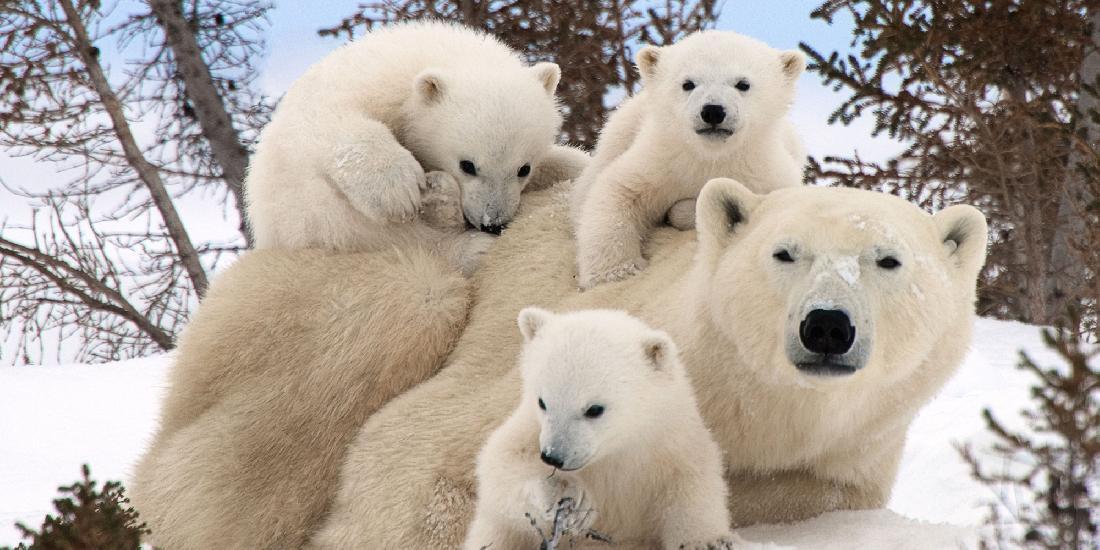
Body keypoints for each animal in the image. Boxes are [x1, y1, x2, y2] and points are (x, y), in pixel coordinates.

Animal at [308, 179, 990, 545]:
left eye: (888, 260)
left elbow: (803, 493)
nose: (826, 326)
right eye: (784, 252)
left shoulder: (851, 453)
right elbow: (421, 446)